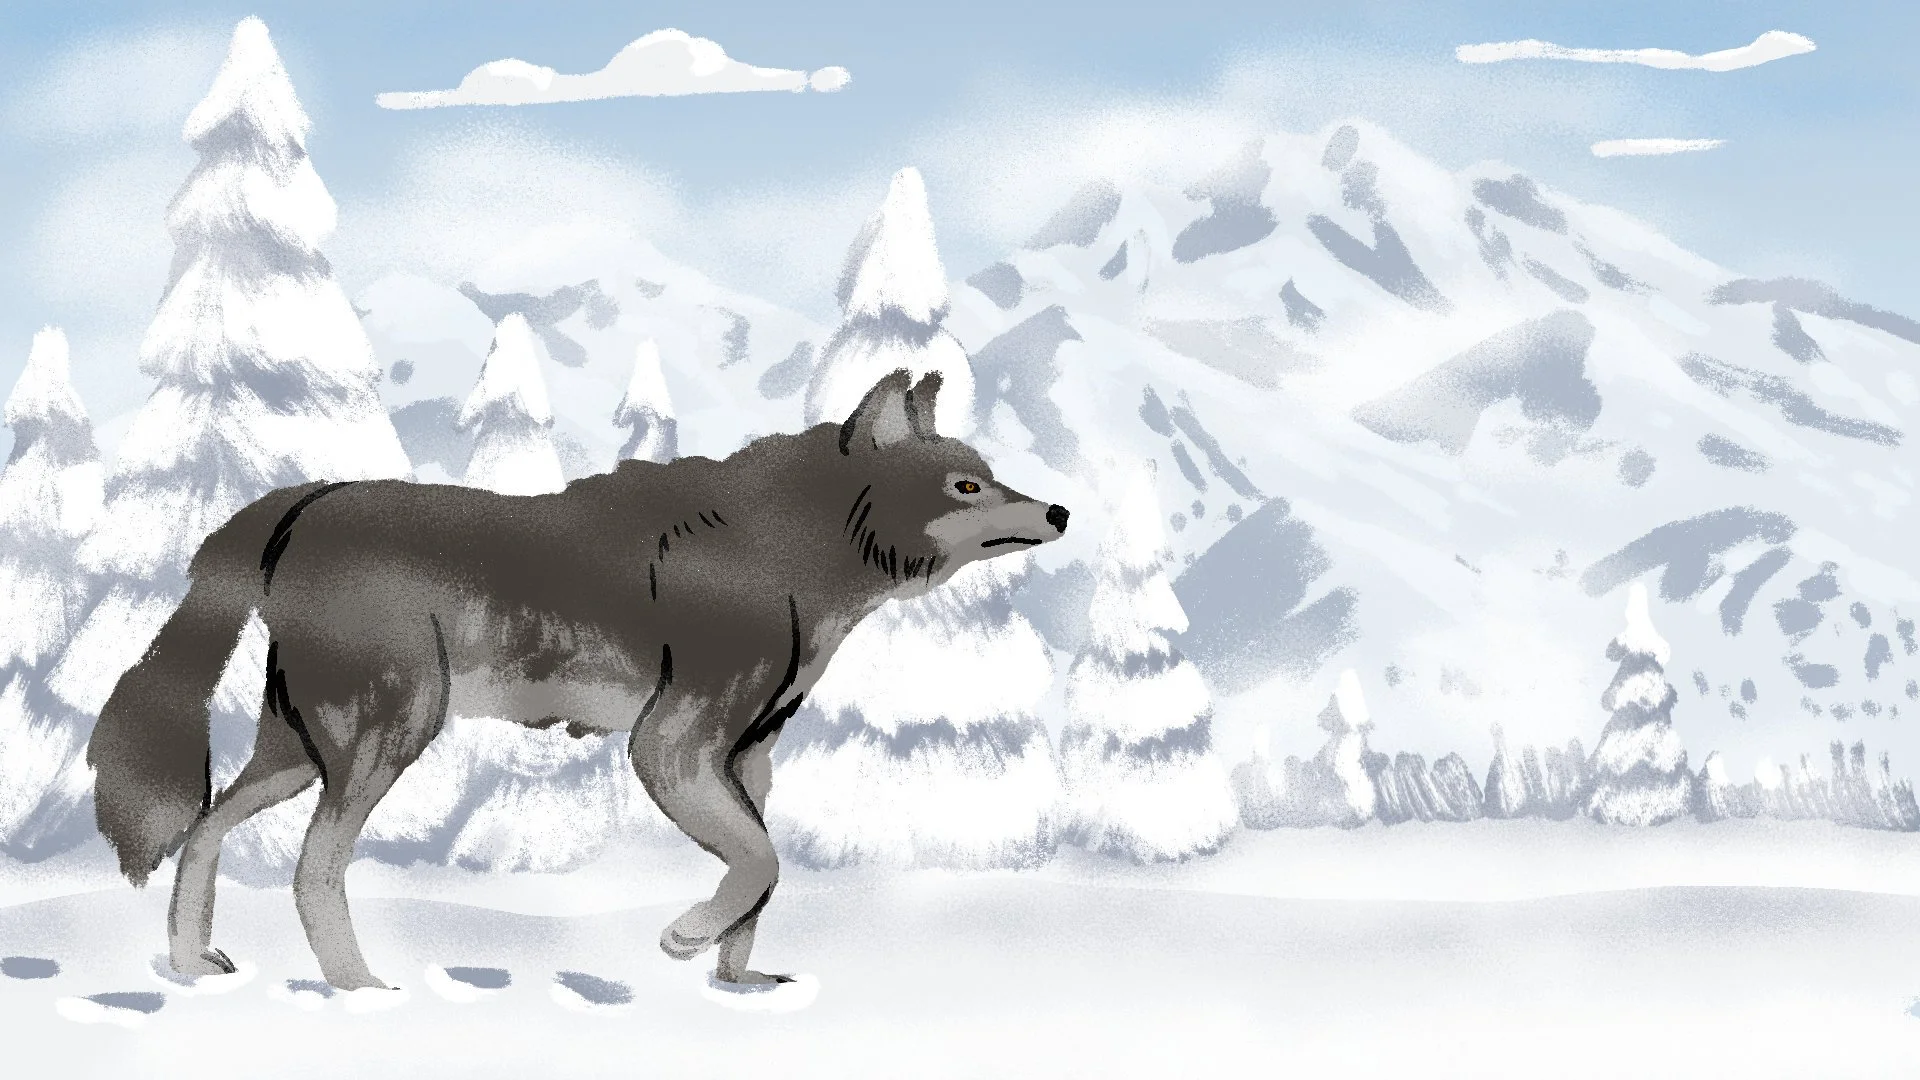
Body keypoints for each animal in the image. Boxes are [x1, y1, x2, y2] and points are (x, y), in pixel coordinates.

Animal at [87, 368, 1068, 992]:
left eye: (993, 476)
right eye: (967, 484)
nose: (1060, 509)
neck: (788, 552)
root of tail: (306, 499)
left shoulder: (749, 759)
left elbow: (763, 876)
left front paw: (737, 982)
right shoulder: (670, 747)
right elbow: (759, 862)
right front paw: (685, 937)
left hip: (299, 752)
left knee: (205, 831)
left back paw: (192, 966)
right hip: (386, 740)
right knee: (310, 869)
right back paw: (361, 991)